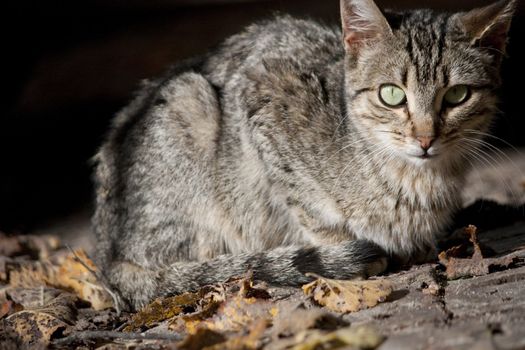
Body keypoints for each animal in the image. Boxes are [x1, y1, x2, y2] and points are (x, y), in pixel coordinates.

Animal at [92, 0, 512, 310]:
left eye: (457, 95)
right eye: (392, 95)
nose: (425, 138)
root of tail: (107, 253)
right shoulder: (262, 100)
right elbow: (310, 210)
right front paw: (342, 253)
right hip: (189, 102)